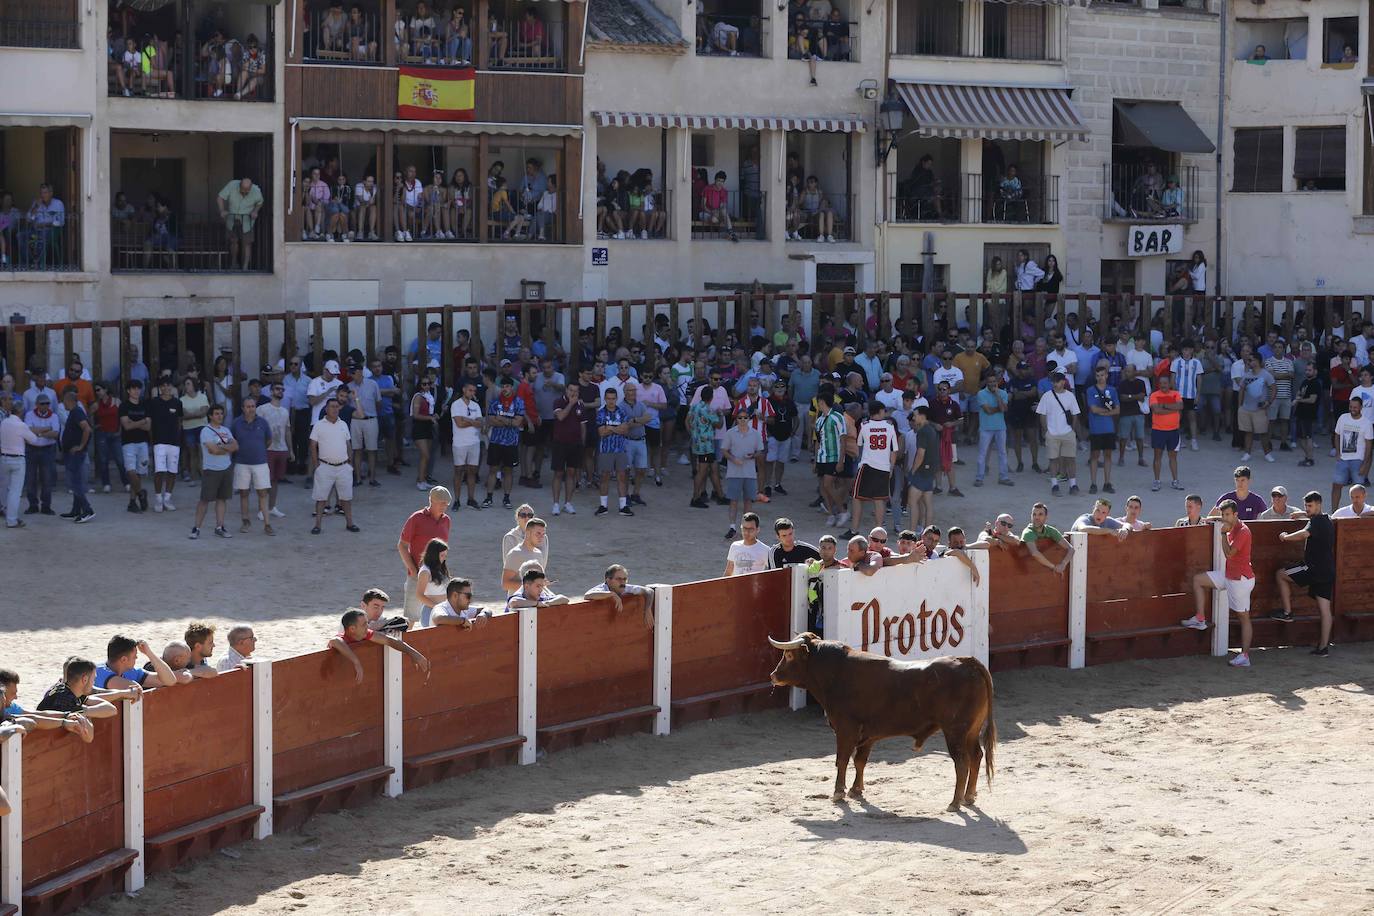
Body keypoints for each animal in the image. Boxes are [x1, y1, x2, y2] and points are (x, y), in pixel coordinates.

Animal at [769, 631, 994, 807]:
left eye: (789, 654)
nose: (773, 676)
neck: (836, 673)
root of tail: (967, 662)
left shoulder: (845, 729)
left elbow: (842, 759)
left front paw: (838, 792)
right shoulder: (868, 734)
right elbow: (860, 760)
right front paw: (856, 789)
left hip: (955, 731)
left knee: (962, 763)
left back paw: (955, 802)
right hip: (971, 731)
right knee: (976, 756)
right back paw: (969, 797)